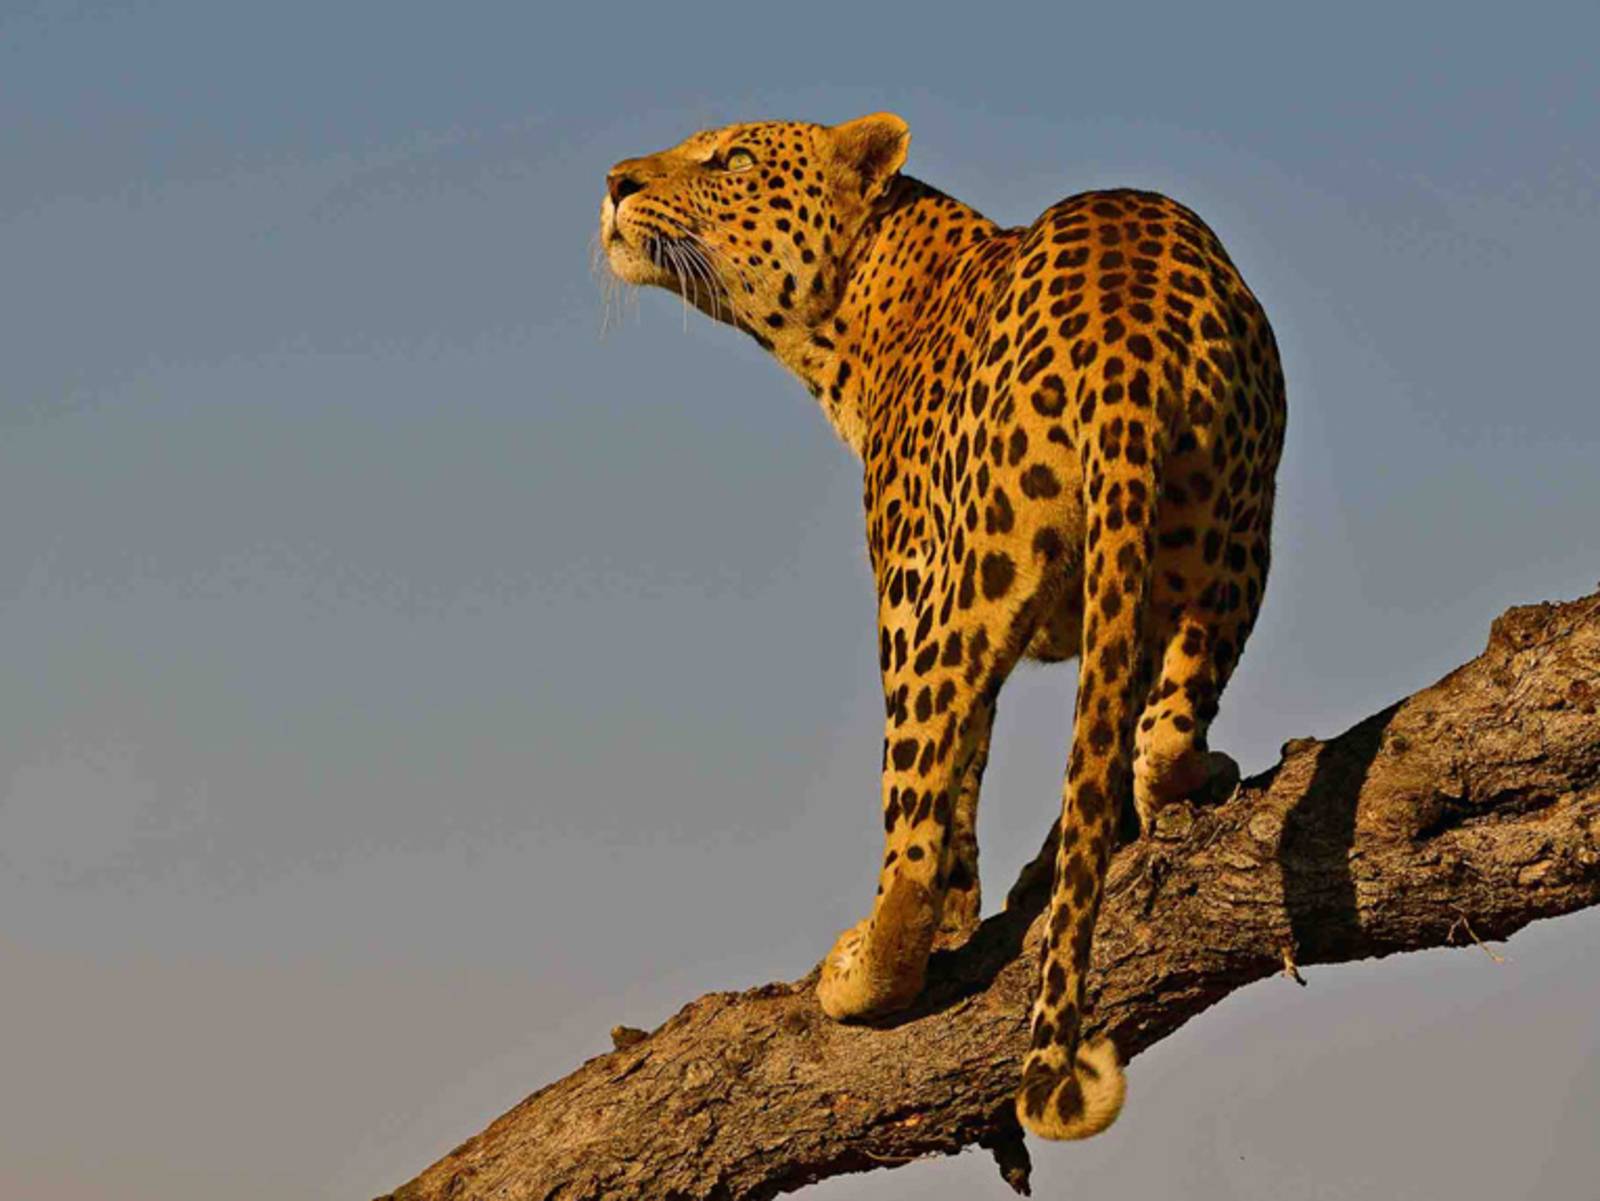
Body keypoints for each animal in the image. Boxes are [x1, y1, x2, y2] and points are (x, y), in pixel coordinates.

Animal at [599, 113, 1285, 1141]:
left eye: (735, 158)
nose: (614, 182)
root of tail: (1126, 338)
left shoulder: (909, 581)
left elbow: (950, 783)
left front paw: (950, 915)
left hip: (963, 582)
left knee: (913, 827)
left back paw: (863, 973)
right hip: (1234, 537)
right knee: (1159, 729)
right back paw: (1182, 787)